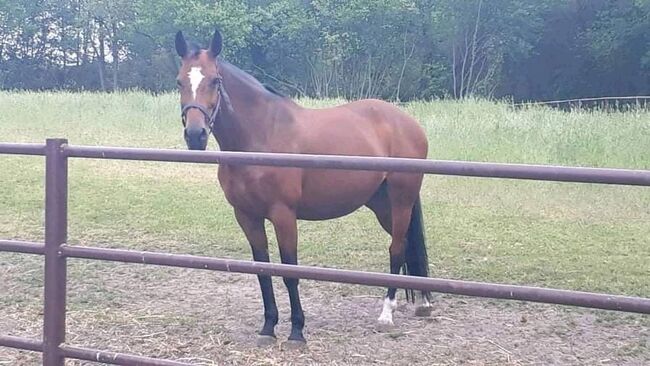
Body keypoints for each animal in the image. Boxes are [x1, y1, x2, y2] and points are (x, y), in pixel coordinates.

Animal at [175, 28, 432, 346]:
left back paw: (387, 314)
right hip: (383, 205)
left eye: (215, 80)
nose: (195, 135)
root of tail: (408, 123)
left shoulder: (284, 215)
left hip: (401, 200)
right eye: (179, 81)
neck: (261, 136)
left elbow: (289, 272)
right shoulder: (247, 217)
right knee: (407, 244)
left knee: (396, 248)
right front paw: (268, 327)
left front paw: (297, 330)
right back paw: (423, 302)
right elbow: (263, 272)